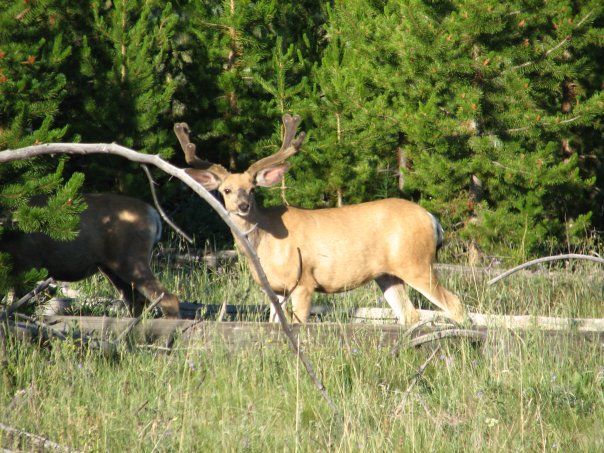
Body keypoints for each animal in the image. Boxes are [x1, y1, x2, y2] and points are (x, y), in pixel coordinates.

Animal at [0, 194, 179, 318]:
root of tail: (153, 214)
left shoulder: (27, 263)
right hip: (112, 269)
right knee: (136, 302)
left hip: (131, 261)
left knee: (169, 299)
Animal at [175, 115, 468, 324]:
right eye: (226, 190)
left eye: (253, 188)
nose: (243, 205)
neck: (265, 245)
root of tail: (432, 219)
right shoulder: (275, 290)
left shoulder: (304, 281)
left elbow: (299, 325)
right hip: (388, 274)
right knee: (410, 315)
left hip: (416, 262)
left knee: (455, 304)